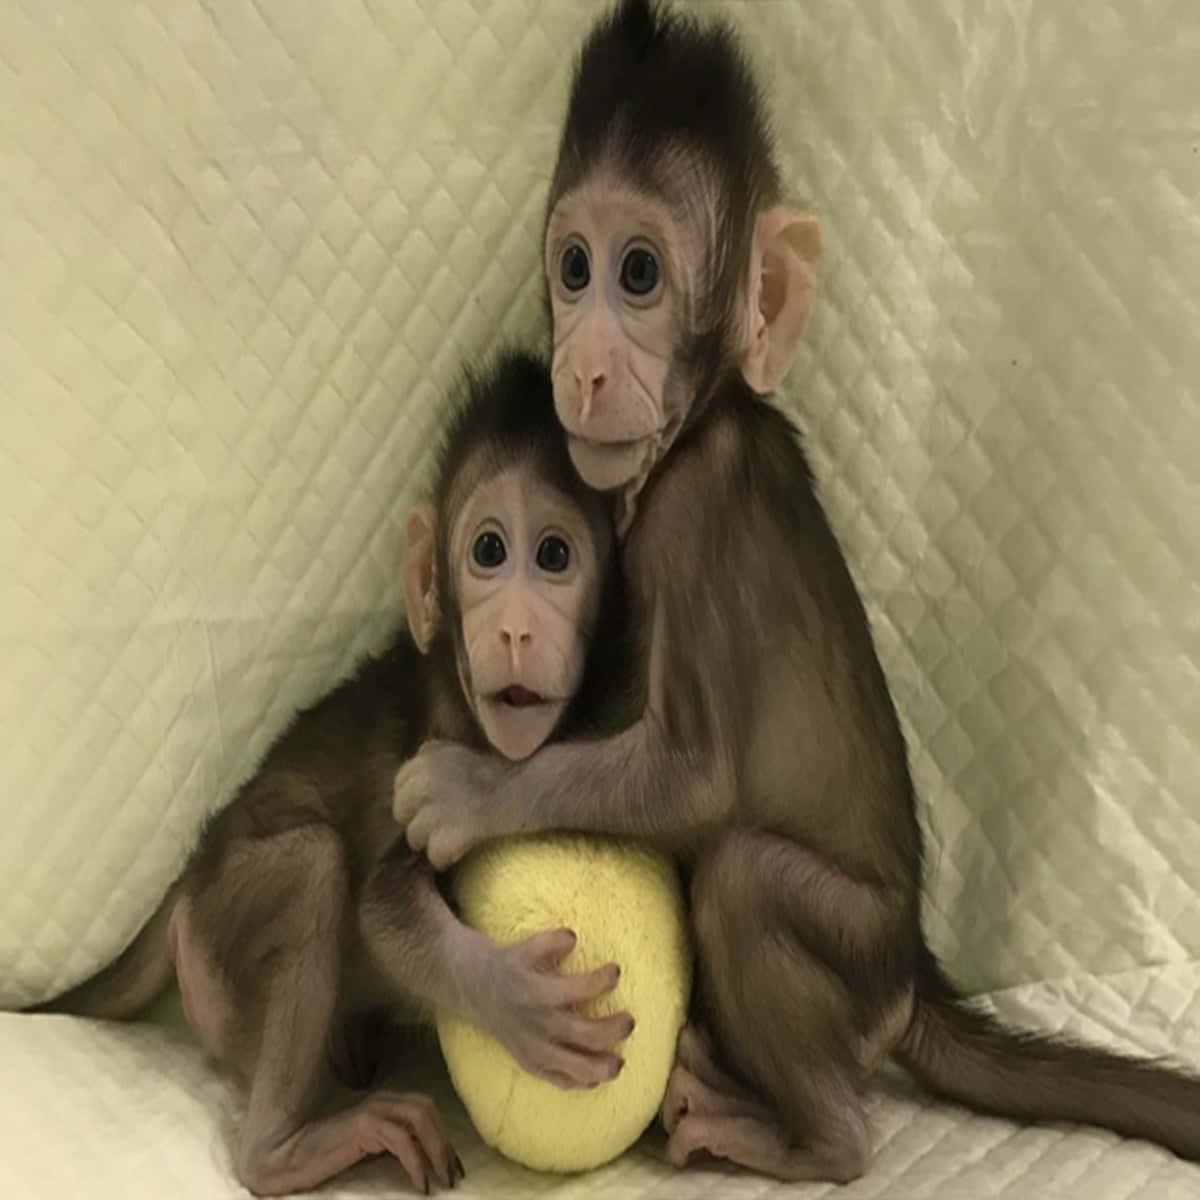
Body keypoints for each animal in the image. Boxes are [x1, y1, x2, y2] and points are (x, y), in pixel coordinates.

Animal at [33, 349, 637, 1196]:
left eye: (555, 555)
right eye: (488, 551)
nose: (515, 629)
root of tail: (189, 875)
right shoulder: (437, 751)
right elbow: (384, 904)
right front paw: (515, 1001)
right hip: (219, 933)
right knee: (315, 864)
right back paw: (287, 1149)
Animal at [393, 0, 1200, 1184]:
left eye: (639, 275)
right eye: (574, 266)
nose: (583, 363)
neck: (707, 416)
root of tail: (911, 975)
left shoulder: (695, 515)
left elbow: (694, 778)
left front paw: (470, 789)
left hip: (851, 958)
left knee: (742, 879)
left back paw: (807, 1135)